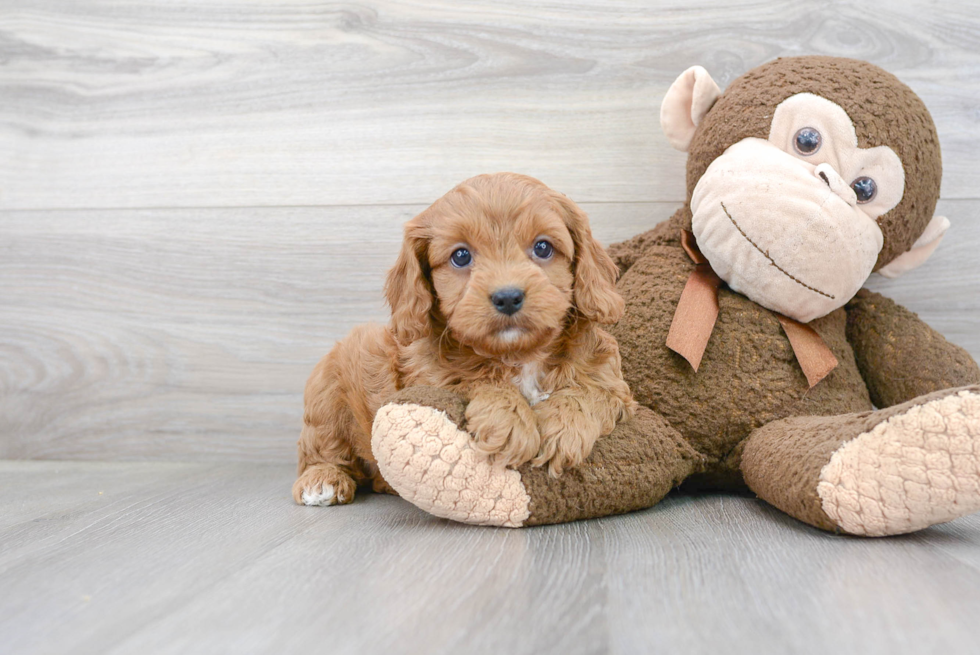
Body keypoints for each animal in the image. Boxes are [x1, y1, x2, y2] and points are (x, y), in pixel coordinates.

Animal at [290, 173, 636, 508]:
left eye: (543, 248)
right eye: (460, 256)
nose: (507, 297)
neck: (519, 355)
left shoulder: (614, 384)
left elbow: (591, 391)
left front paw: (562, 428)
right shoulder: (428, 379)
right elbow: (474, 380)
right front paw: (509, 421)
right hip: (327, 391)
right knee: (322, 449)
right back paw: (321, 481)